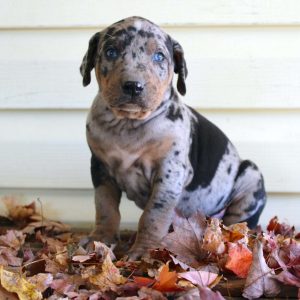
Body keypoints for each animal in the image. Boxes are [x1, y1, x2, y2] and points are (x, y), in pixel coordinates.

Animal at [79, 16, 264, 258]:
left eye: (159, 56)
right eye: (110, 51)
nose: (133, 86)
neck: (128, 124)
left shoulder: (170, 171)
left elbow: (153, 215)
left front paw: (145, 250)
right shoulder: (100, 168)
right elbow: (105, 207)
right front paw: (100, 240)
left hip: (250, 178)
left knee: (239, 223)